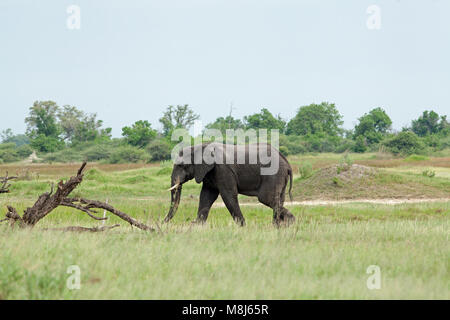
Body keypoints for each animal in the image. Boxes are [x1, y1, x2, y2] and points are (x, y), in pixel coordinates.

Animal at [163, 141, 296, 226]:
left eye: (181, 165)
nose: (162, 222)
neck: (200, 146)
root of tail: (287, 162)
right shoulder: (209, 172)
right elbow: (206, 196)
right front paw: (197, 225)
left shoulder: (223, 169)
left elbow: (227, 195)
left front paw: (243, 226)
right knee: (278, 199)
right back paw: (279, 226)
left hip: (273, 174)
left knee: (266, 198)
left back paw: (290, 222)